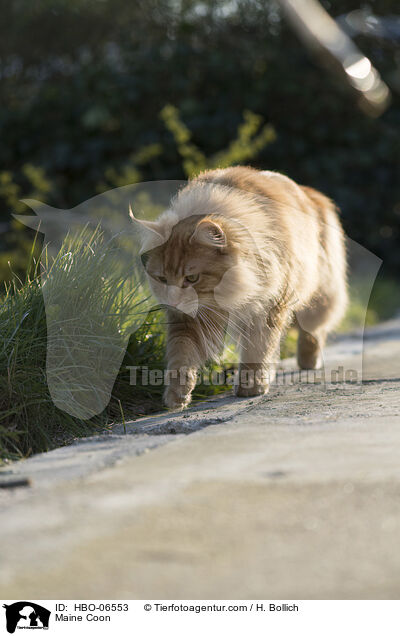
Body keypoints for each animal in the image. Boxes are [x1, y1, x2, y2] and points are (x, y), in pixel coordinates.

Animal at [130, 166, 346, 410]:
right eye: (162, 279)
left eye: (192, 278)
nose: (173, 300)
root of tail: (310, 192)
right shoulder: (188, 320)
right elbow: (181, 357)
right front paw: (177, 396)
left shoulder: (266, 308)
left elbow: (257, 351)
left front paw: (250, 387)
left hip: (318, 293)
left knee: (312, 332)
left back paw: (308, 362)